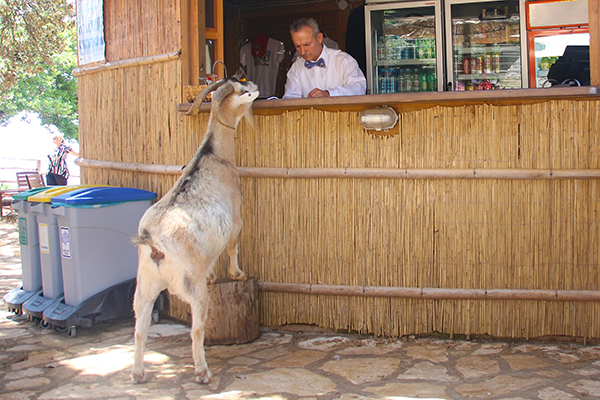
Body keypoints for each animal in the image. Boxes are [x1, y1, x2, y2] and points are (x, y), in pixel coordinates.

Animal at [131, 78, 258, 384]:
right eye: (243, 89)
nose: (256, 86)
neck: (212, 154)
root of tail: (155, 245)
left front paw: (214, 276)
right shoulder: (236, 215)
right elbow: (233, 245)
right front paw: (237, 274)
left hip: (144, 287)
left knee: (140, 329)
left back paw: (138, 373)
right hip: (192, 286)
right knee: (197, 328)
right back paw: (203, 372)